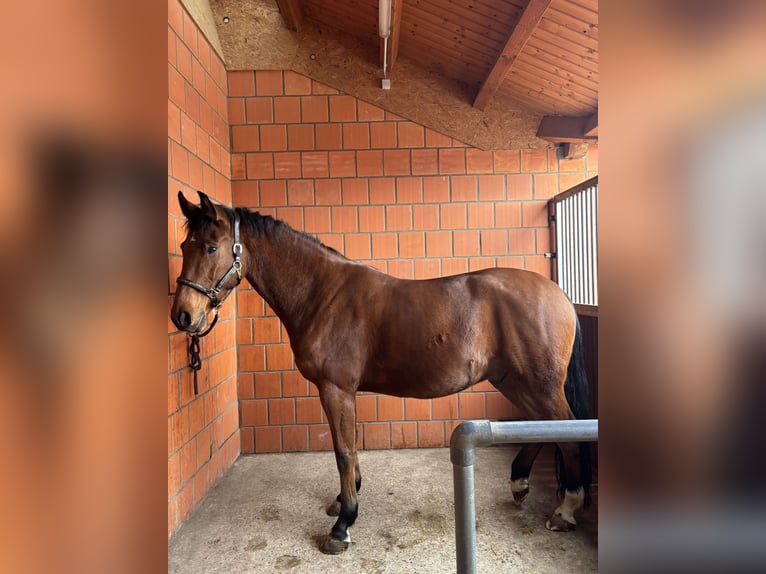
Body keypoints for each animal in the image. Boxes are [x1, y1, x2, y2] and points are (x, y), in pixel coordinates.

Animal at [170, 190, 592, 555]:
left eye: (211, 247)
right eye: (184, 246)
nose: (183, 316)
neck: (323, 294)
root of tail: (558, 295)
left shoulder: (336, 389)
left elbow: (342, 451)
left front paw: (343, 525)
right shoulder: (343, 392)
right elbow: (349, 446)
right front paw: (345, 498)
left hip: (538, 384)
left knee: (567, 432)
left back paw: (565, 510)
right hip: (513, 380)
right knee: (543, 425)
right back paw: (520, 482)